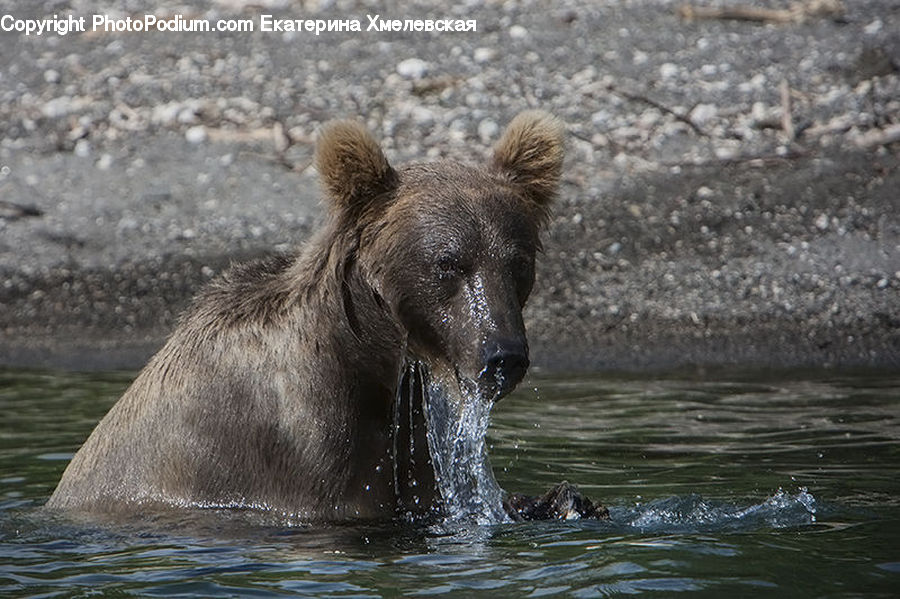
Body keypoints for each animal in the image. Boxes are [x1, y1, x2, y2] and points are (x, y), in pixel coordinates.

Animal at [46, 110, 607, 523]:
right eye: (448, 263)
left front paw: (565, 498)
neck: (369, 358)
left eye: (518, 263)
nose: (503, 357)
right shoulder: (293, 452)